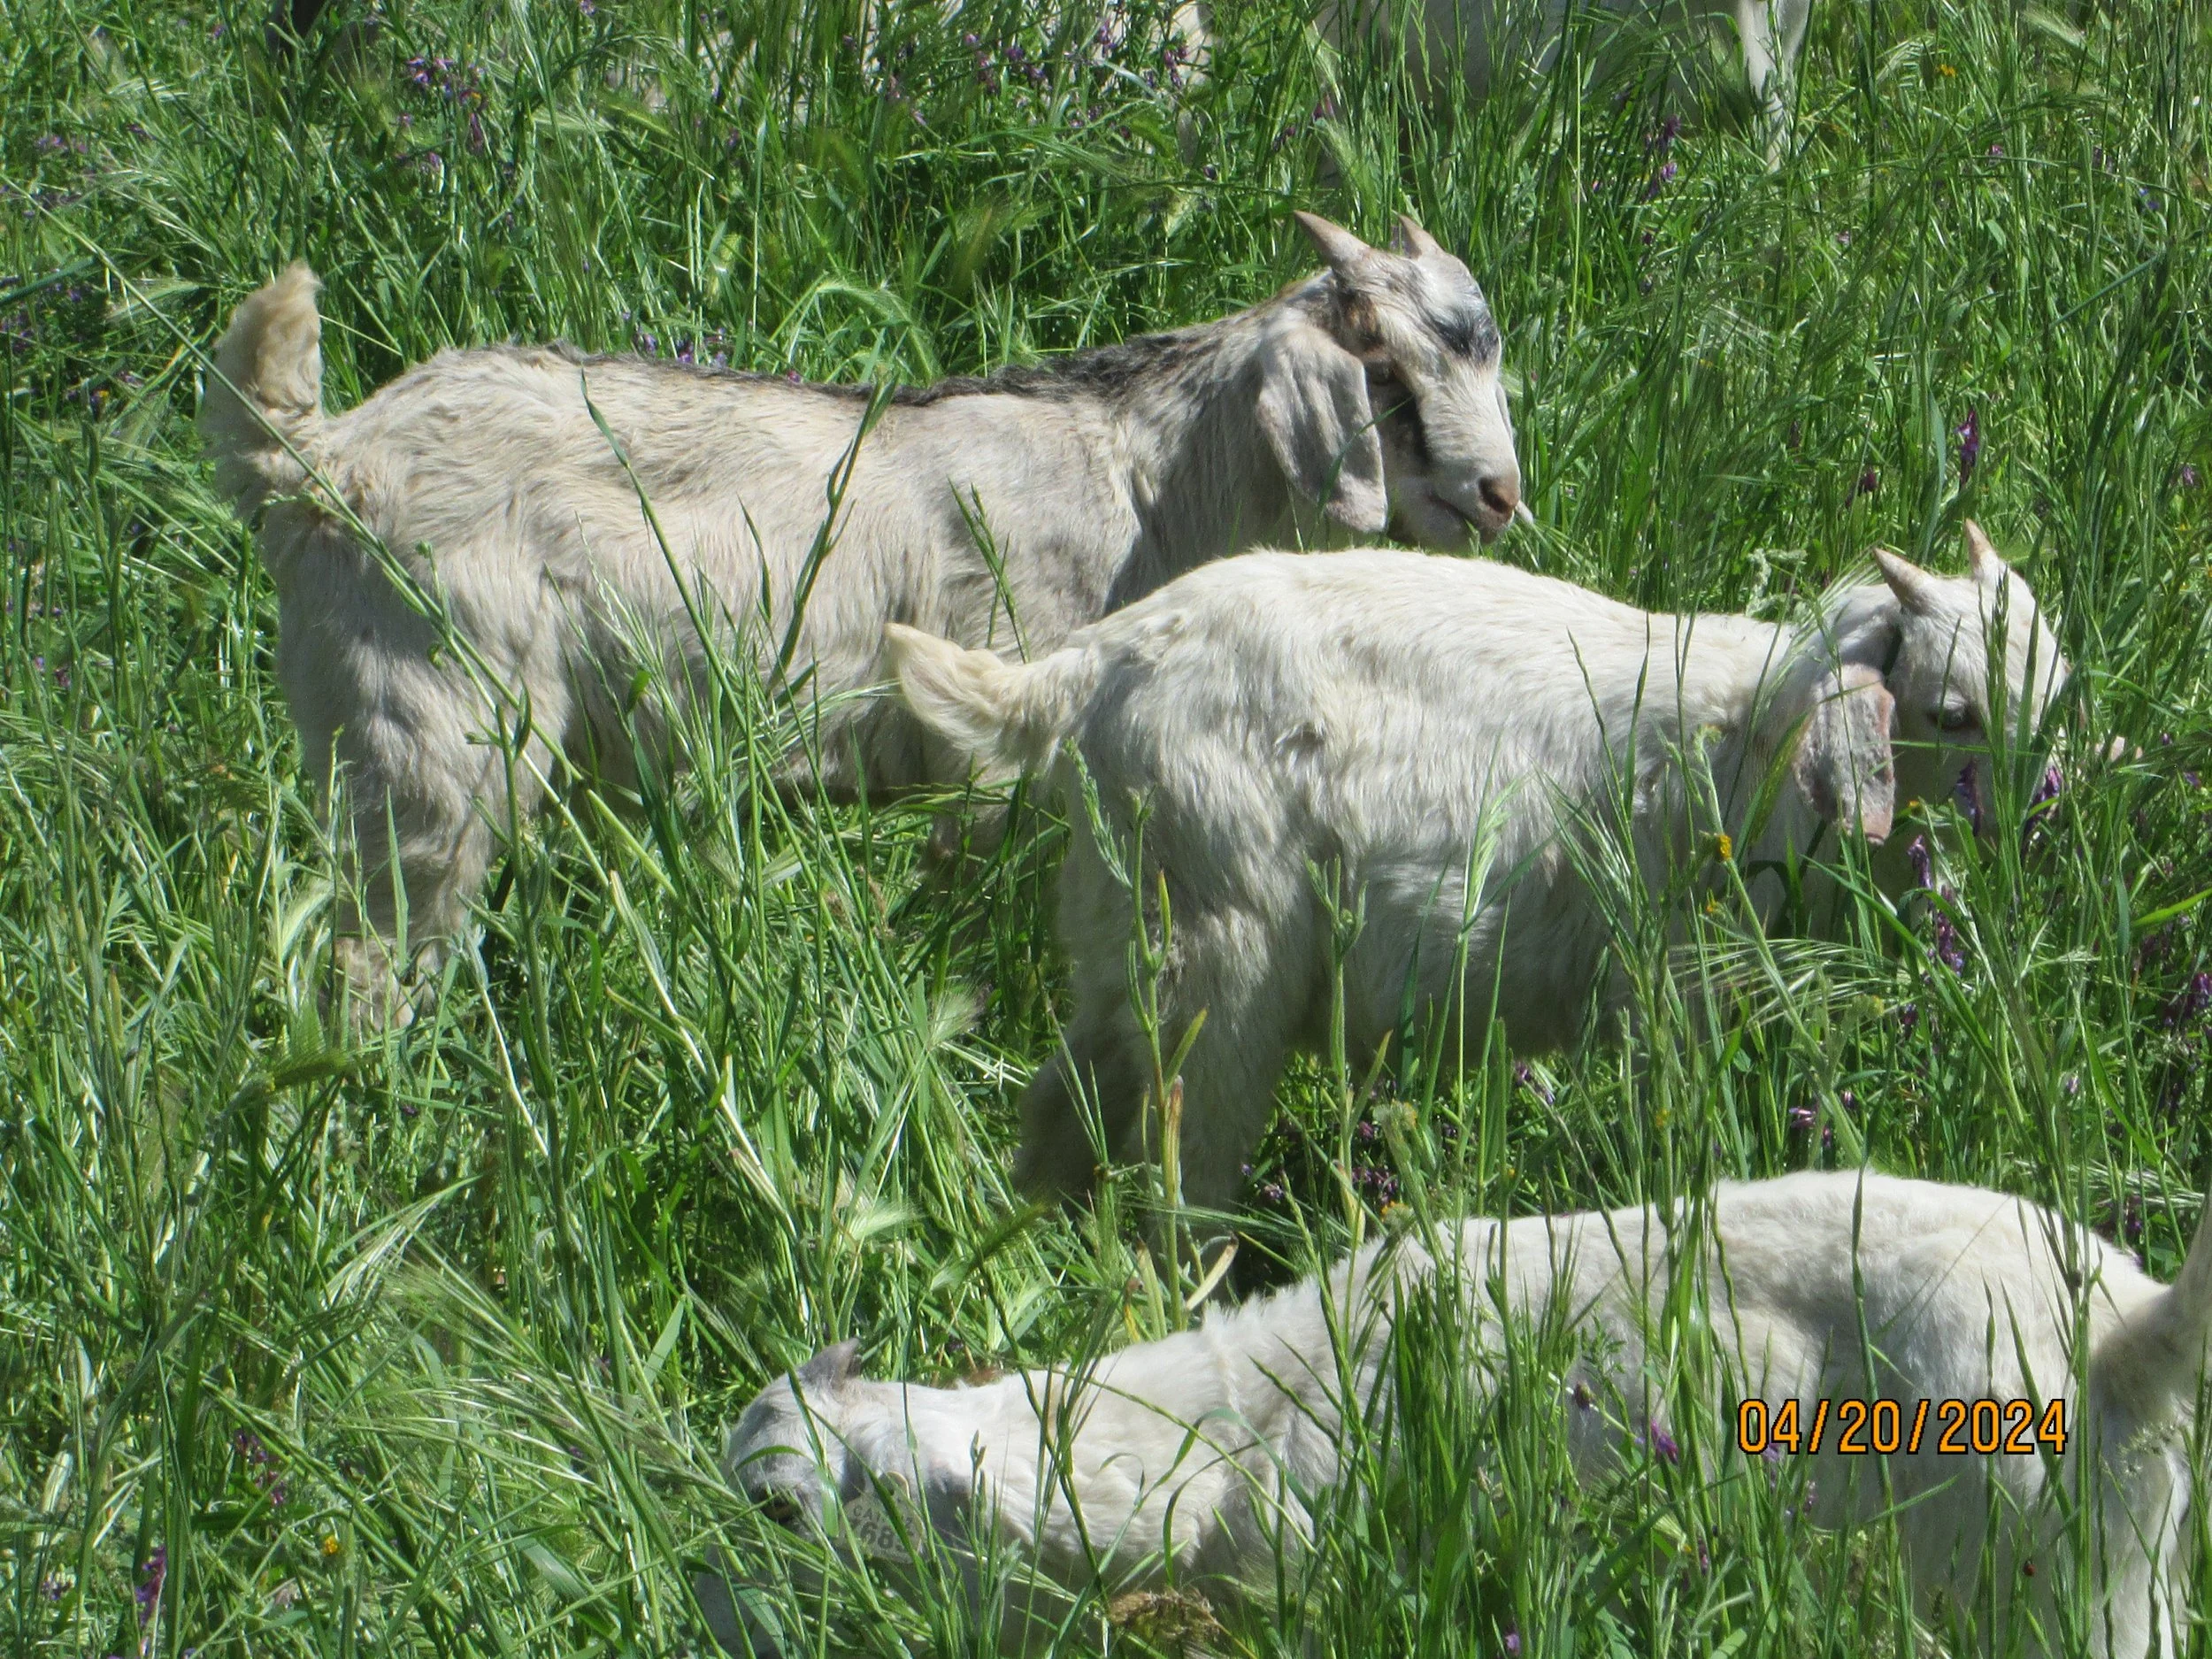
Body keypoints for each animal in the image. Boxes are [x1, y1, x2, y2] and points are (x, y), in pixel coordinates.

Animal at [200, 213, 1520, 1020]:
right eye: (1383, 373)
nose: (1500, 494)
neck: (1139, 477)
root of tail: (318, 461)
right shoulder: (989, 727)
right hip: (437, 715)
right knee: (385, 937)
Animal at [717, 1170, 2210, 1658]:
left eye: (775, 1511)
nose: (699, 1613)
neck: (1221, 1422)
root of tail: (2128, 1328)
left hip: (2035, 1586)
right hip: (2126, 1570)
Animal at [887, 525, 2068, 1207]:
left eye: (2052, 691)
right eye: (1949, 711)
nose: (2047, 817)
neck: (1756, 739)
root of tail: (1093, 664)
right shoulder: (1673, 989)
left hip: (1127, 930)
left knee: (1065, 1107)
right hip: (1223, 950)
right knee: (1185, 1154)